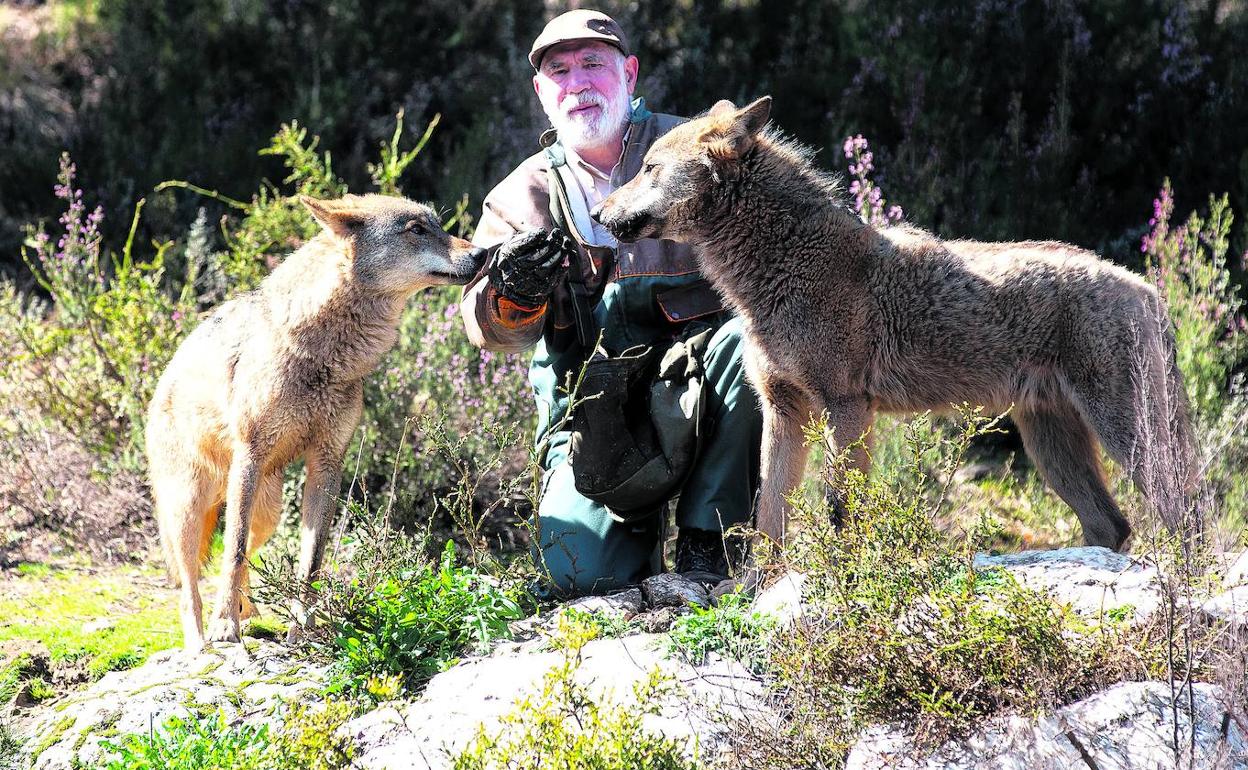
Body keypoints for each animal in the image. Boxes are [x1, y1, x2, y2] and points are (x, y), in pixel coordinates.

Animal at [147, 193, 486, 648]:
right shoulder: (250, 456)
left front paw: (302, 626)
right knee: (192, 584)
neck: (323, 354)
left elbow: (310, 560)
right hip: (193, 509)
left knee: (242, 555)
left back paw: (248, 612)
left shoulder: (327, 462)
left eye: (438, 225)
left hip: (267, 512)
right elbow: (231, 552)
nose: (483, 253)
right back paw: (202, 642)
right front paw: (225, 627)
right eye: (416, 229)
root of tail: (160, 385)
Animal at [594, 99, 1198, 549]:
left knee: (1185, 513)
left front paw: (844, 586)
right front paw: (757, 592)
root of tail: (1147, 289)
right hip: (1053, 448)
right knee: (1114, 526)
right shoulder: (784, 411)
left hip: (1126, 441)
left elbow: (840, 510)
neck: (783, 265)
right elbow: (768, 518)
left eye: (648, 168)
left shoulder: (847, 409)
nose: (598, 215)